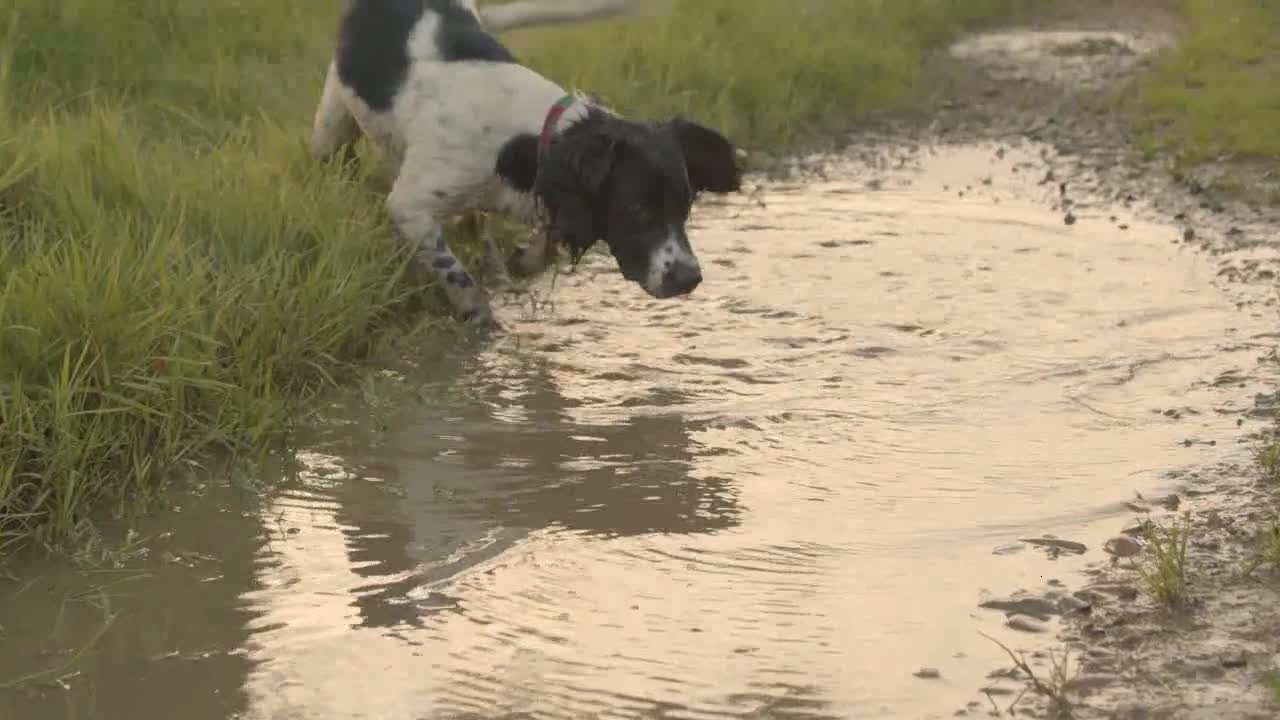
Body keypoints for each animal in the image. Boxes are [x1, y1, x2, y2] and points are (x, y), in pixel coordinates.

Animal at [311, 0, 747, 322]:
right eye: (637, 209)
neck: (523, 140)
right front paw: (480, 315)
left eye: (686, 206)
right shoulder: (410, 205)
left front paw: (522, 262)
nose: (690, 279)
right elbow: (454, 272)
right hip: (333, 118)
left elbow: (547, 240)